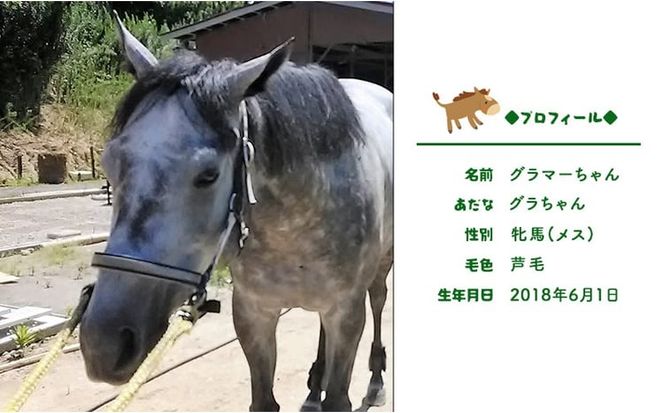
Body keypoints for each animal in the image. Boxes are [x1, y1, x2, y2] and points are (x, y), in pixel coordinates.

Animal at [79, 14, 393, 412]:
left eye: (208, 175)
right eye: (109, 162)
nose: (103, 344)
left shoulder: (346, 313)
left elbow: (338, 396)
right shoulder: (253, 314)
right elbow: (263, 399)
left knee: (379, 299)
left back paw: (376, 380)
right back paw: (312, 389)